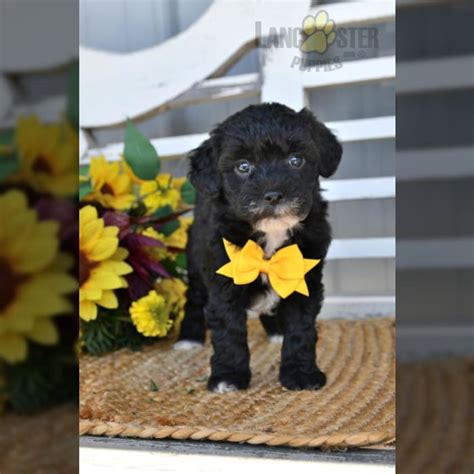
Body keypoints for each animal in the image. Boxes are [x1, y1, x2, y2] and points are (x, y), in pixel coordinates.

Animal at [174, 103, 340, 392]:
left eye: (296, 160)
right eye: (243, 167)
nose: (273, 195)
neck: (270, 233)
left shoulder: (304, 277)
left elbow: (301, 329)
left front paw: (301, 374)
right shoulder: (223, 280)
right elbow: (229, 330)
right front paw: (228, 377)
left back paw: (276, 330)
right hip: (195, 258)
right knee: (194, 297)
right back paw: (189, 338)